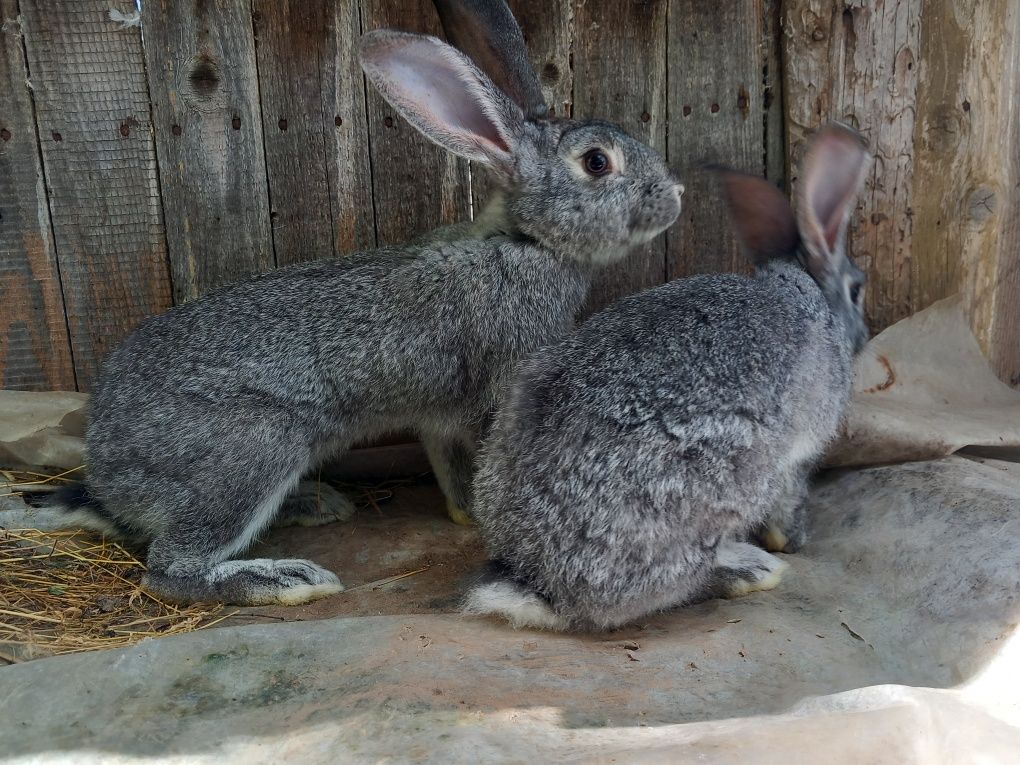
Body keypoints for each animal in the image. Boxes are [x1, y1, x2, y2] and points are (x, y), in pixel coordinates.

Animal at [45, 1, 685, 612]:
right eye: (597, 162)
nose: (676, 195)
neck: (526, 241)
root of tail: (107, 475)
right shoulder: (494, 390)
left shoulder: (440, 419)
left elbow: (453, 468)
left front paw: (463, 516)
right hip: (249, 453)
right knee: (171, 568)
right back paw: (285, 580)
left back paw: (313, 504)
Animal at [463, 122, 869, 632]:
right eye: (857, 290)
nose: (865, 334)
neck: (807, 291)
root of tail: (542, 585)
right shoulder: (793, 457)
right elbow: (790, 497)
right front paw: (790, 539)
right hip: (722, 481)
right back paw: (751, 570)